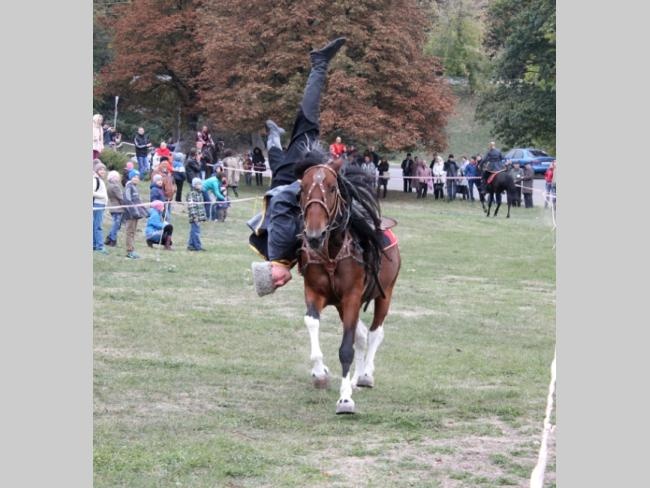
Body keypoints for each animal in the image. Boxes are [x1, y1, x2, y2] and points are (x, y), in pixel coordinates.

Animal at [298, 160, 401, 414]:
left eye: (332, 187)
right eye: (302, 188)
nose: (314, 235)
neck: (332, 252)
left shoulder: (352, 296)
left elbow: (346, 348)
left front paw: (345, 399)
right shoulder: (314, 293)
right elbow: (312, 322)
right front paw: (319, 372)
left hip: (386, 293)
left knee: (374, 333)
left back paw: (365, 375)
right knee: (361, 335)